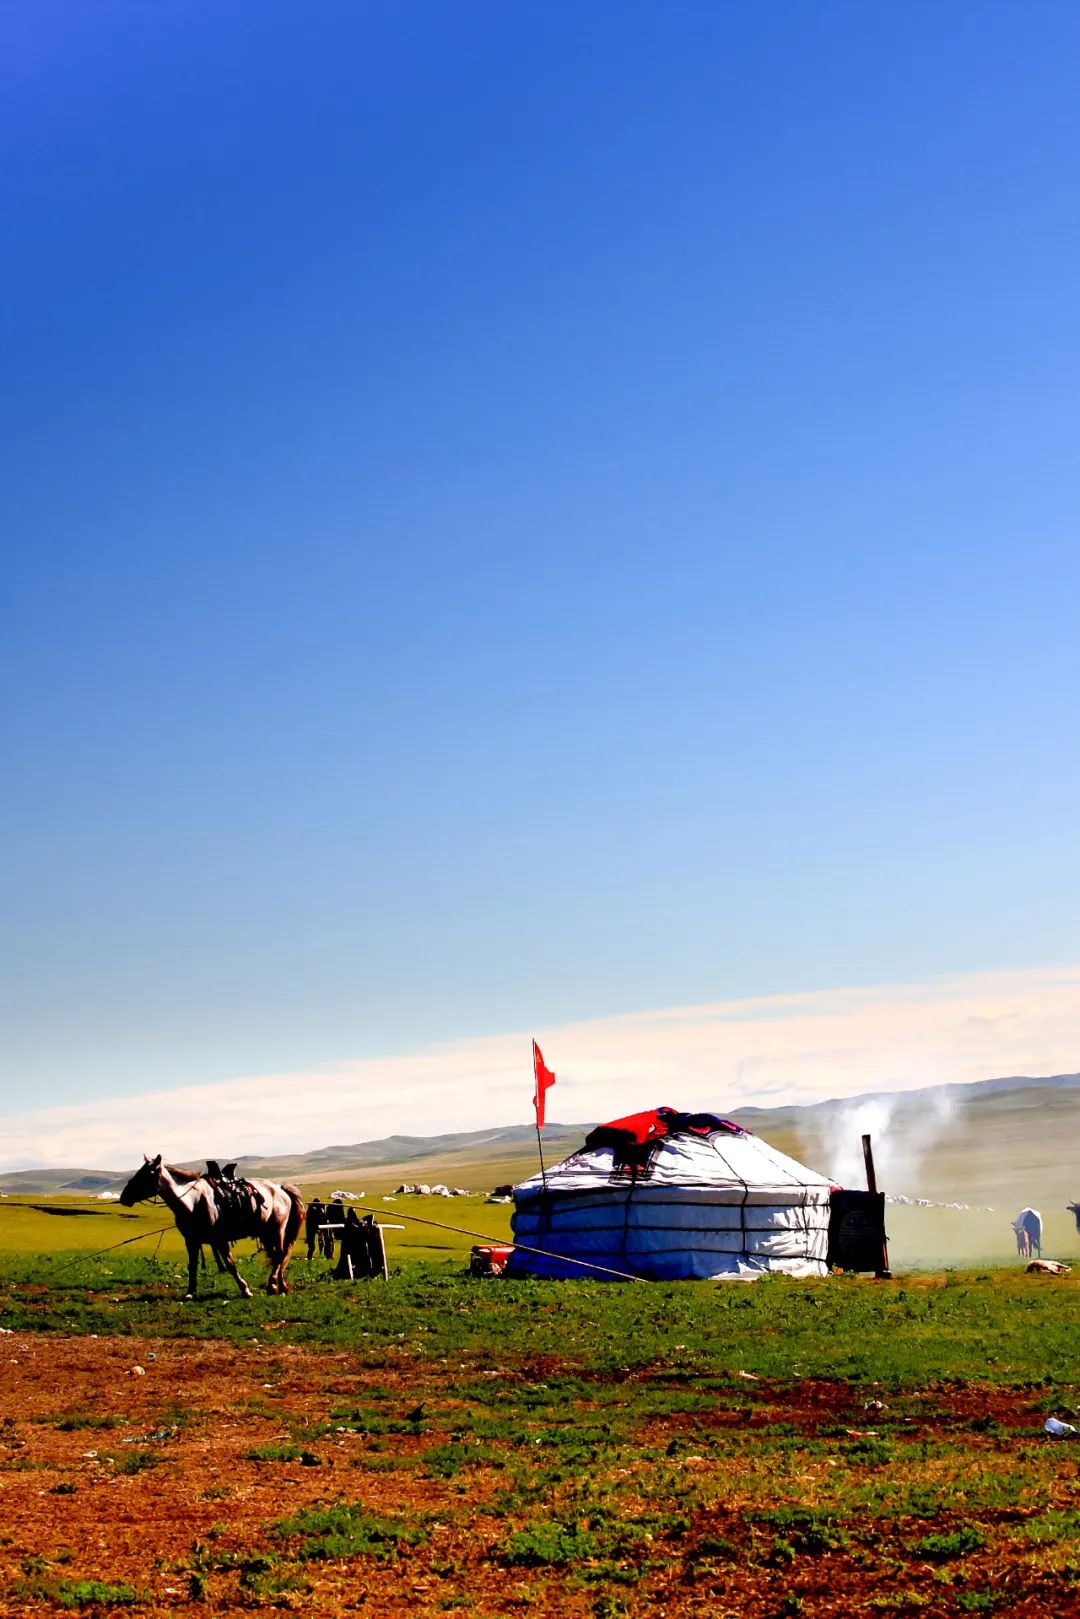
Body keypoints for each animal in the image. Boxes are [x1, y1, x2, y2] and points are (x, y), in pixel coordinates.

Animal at [120, 1152, 306, 1301]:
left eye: (146, 1174)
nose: (123, 1197)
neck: (192, 1202)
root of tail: (280, 1188)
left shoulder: (220, 1239)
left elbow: (230, 1264)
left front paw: (245, 1290)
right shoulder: (191, 1241)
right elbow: (192, 1265)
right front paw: (190, 1293)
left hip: (277, 1229)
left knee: (280, 1254)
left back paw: (273, 1284)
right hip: (265, 1233)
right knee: (278, 1256)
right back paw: (279, 1286)